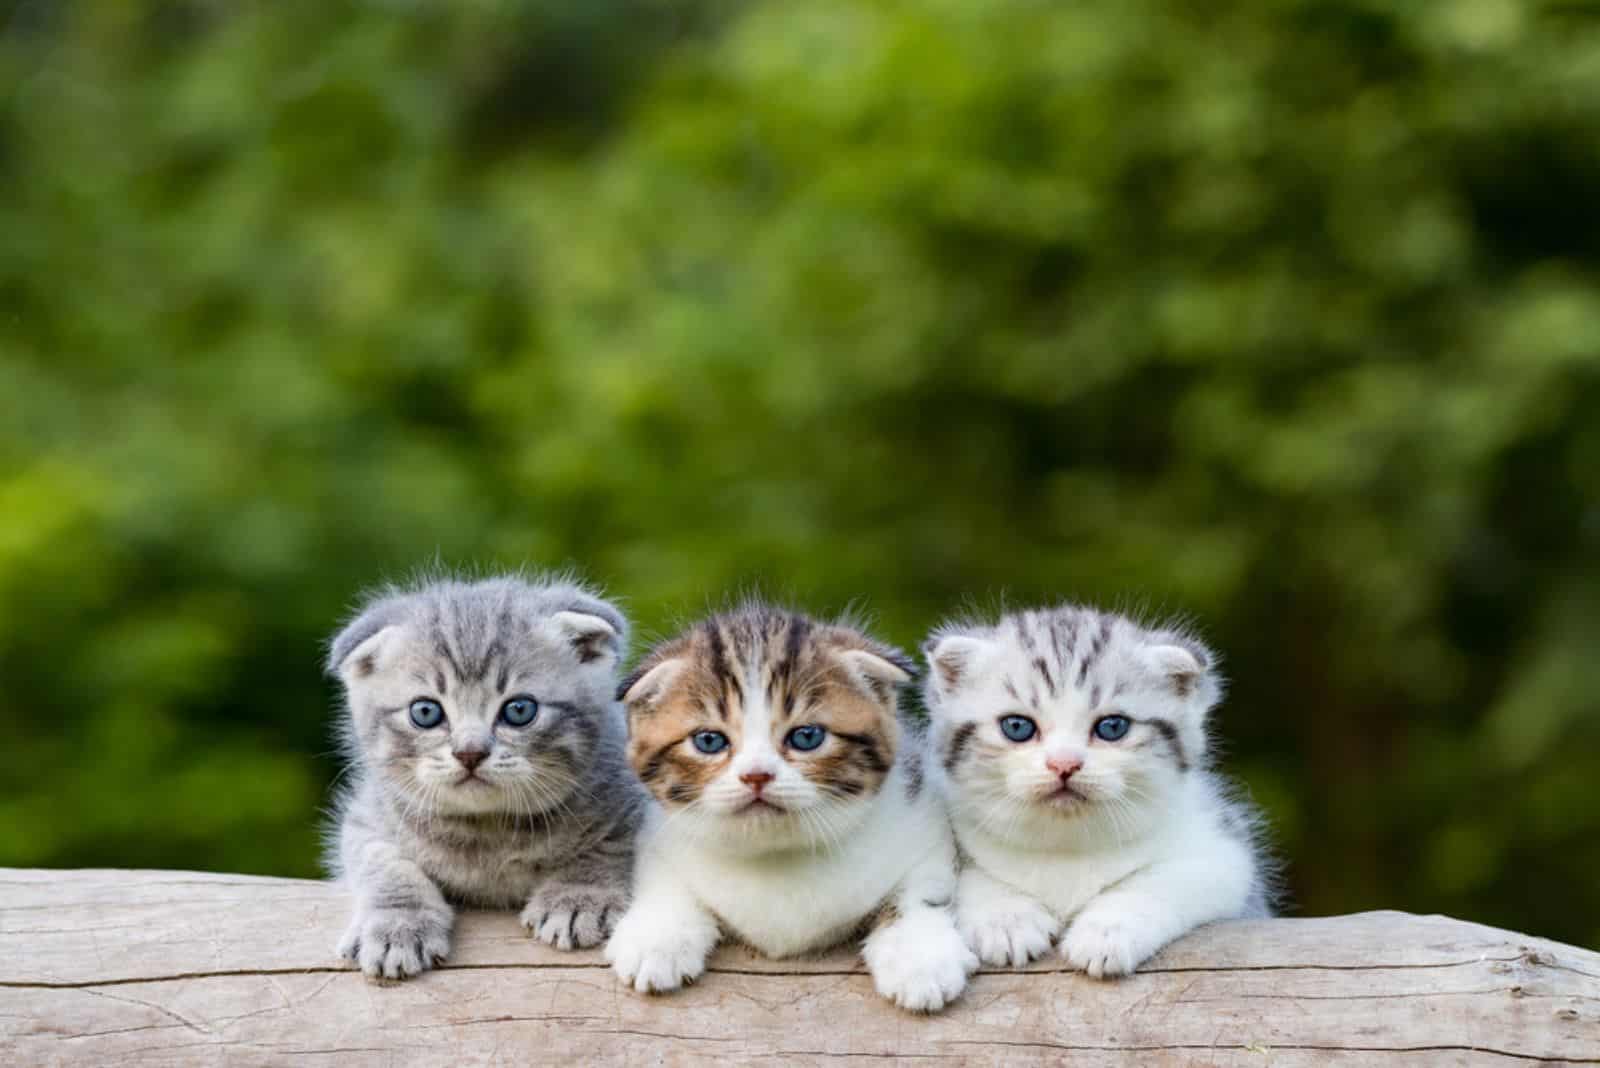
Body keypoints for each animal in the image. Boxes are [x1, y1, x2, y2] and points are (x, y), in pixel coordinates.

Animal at [324, 575, 649, 978]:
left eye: (519, 710)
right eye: (426, 712)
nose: (470, 752)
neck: (488, 832)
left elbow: (612, 843)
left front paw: (579, 897)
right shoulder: (369, 815)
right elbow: (384, 864)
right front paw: (396, 925)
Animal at [928, 601, 1273, 978]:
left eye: (1112, 727)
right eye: (1017, 727)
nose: (1064, 763)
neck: (1067, 849)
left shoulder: (1224, 855)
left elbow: (1159, 881)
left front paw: (1106, 933)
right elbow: (965, 876)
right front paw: (1007, 920)